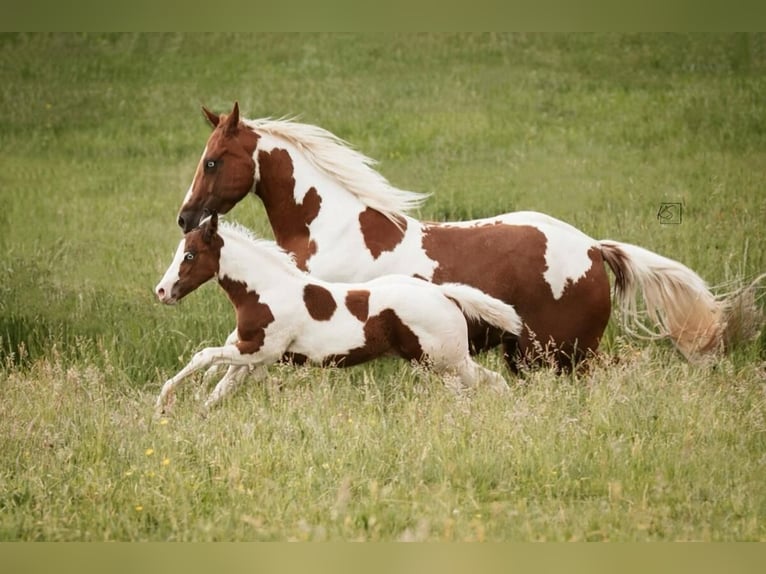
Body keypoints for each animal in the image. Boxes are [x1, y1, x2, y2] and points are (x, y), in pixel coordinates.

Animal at [154, 213, 523, 412]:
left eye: (190, 255)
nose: (162, 291)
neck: (266, 291)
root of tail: (442, 293)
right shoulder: (252, 358)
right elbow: (219, 389)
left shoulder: (260, 350)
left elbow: (203, 356)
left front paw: (162, 402)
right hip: (445, 364)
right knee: (491, 383)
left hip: (443, 362)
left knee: (477, 389)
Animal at [175, 102, 760, 372]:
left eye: (212, 160)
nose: (185, 218)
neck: (331, 230)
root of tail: (594, 248)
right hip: (532, 357)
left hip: (566, 354)